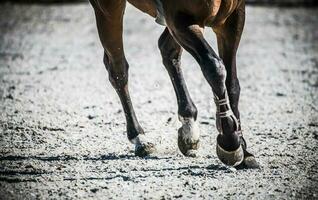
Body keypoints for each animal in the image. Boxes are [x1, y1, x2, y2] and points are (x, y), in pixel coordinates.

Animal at [89, 0, 258, 169]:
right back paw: (139, 138)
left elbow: (232, 83)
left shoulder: (233, 17)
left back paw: (188, 128)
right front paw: (230, 143)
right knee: (118, 69)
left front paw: (244, 150)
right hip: (108, 8)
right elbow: (215, 68)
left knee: (167, 49)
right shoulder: (180, 19)